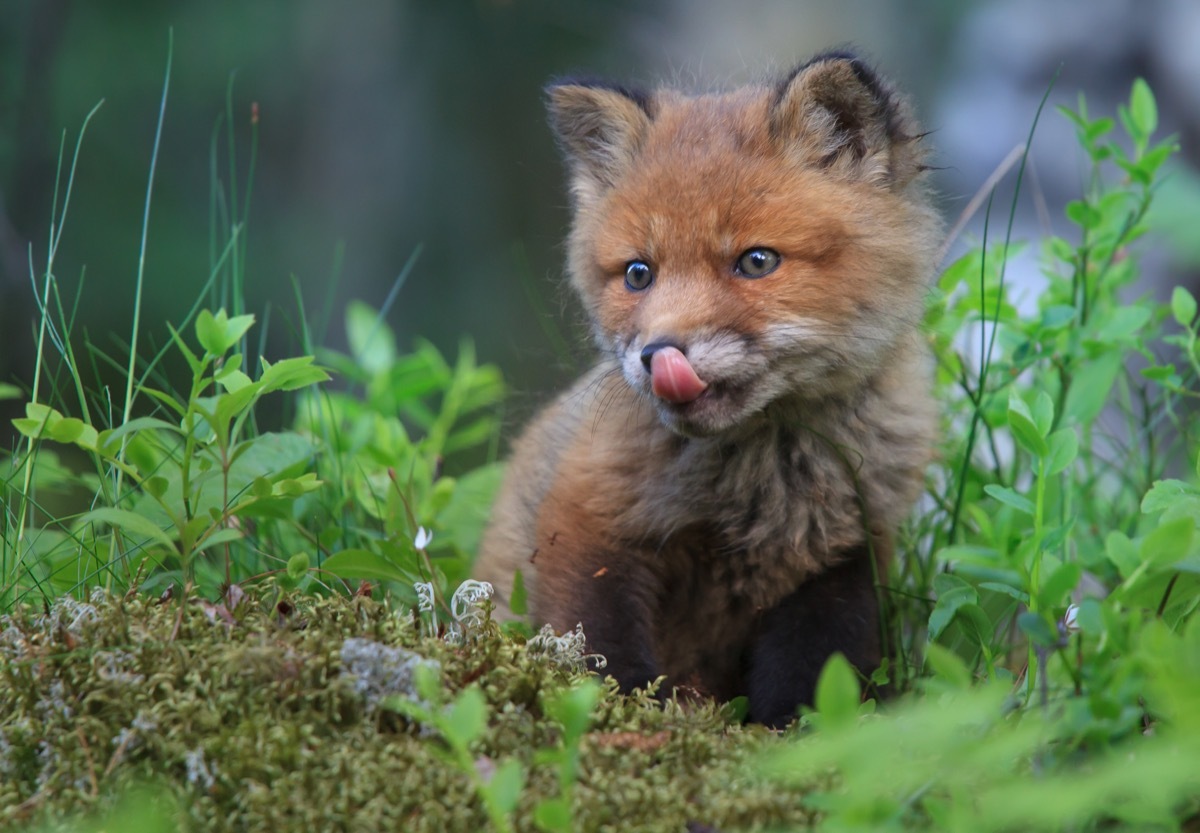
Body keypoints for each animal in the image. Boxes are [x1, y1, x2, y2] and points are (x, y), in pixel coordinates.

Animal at [474, 51, 939, 727]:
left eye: (756, 261)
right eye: (639, 274)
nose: (658, 355)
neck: (760, 488)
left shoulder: (847, 555)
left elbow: (812, 681)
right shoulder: (587, 519)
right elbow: (603, 654)